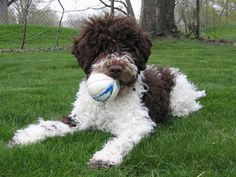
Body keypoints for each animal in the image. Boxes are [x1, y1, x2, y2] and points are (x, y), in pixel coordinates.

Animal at [8, 14, 205, 168]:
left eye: (127, 47)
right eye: (100, 48)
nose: (116, 68)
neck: (108, 103)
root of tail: (169, 71)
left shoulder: (137, 123)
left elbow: (122, 140)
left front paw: (105, 157)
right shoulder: (79, 118)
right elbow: (52, 125)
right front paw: (25, 136)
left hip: (179, 102)